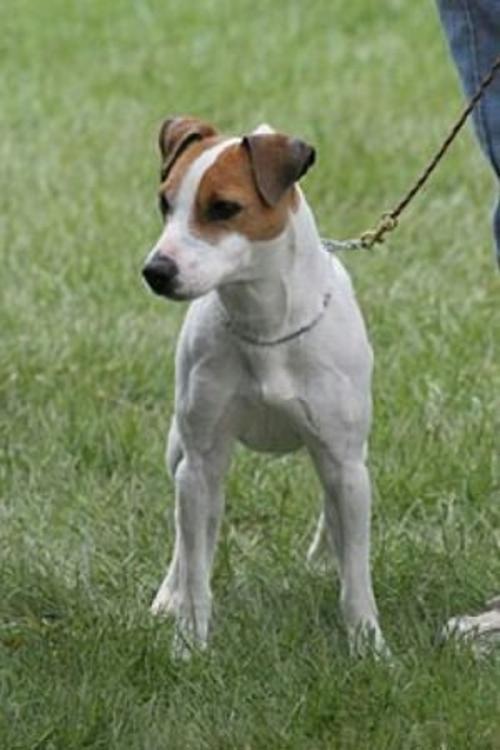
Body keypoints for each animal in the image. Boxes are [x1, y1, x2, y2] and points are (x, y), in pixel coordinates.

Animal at [143, 117, 388, 656]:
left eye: (224, 208)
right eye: (165, 203)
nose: (155, 271)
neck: (267, 327)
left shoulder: (345, 461)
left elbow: (359, 574)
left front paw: (368, 646)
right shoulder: (202, 463)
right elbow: (196, 569)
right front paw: (188, 644)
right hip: (180, 451)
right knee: (186, 538)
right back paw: (169, 591)